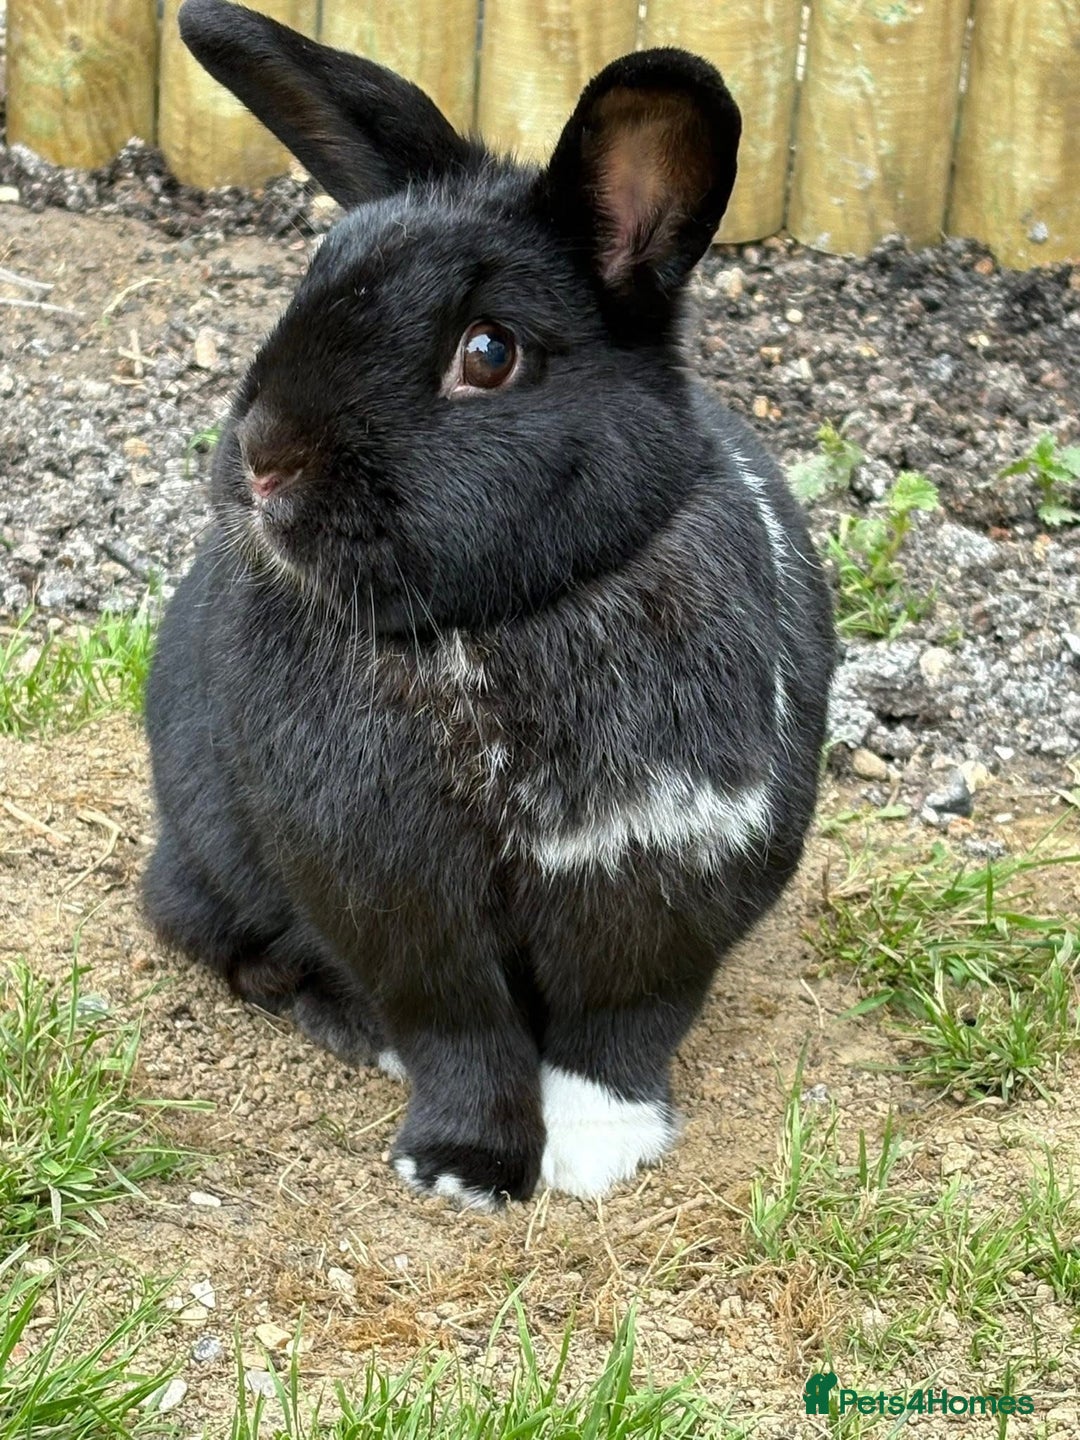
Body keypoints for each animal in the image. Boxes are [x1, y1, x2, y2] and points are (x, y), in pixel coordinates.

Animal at [143, 0, 836, 1210]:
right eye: (313, 275)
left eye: (489, 352)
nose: (262, 460)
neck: (497, 623)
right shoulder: (398, 905)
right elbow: (458, 1032)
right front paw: (461, 1168)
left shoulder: (663, 887)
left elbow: (619, 1028)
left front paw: (598, 1152)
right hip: (205, 851)